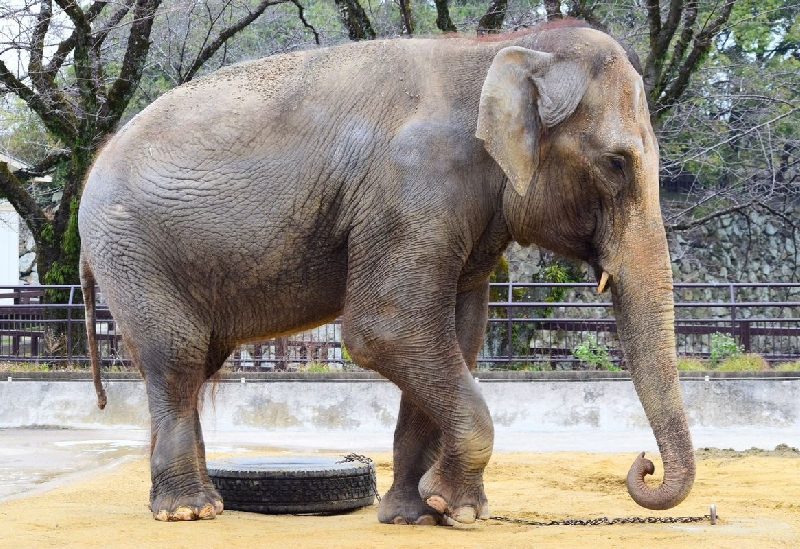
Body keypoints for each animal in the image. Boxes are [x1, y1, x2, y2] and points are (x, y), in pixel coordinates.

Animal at [81, 21, 692, 524]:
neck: (502, 48)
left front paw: (422, 514)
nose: (643, 464)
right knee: (177, 357)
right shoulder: (413, 185)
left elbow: (457, 336)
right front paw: (453, 508)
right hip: (130, 248)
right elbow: (388, 328)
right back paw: (190, 510)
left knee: (194, 364)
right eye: (617, 163)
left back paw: (191, 503)